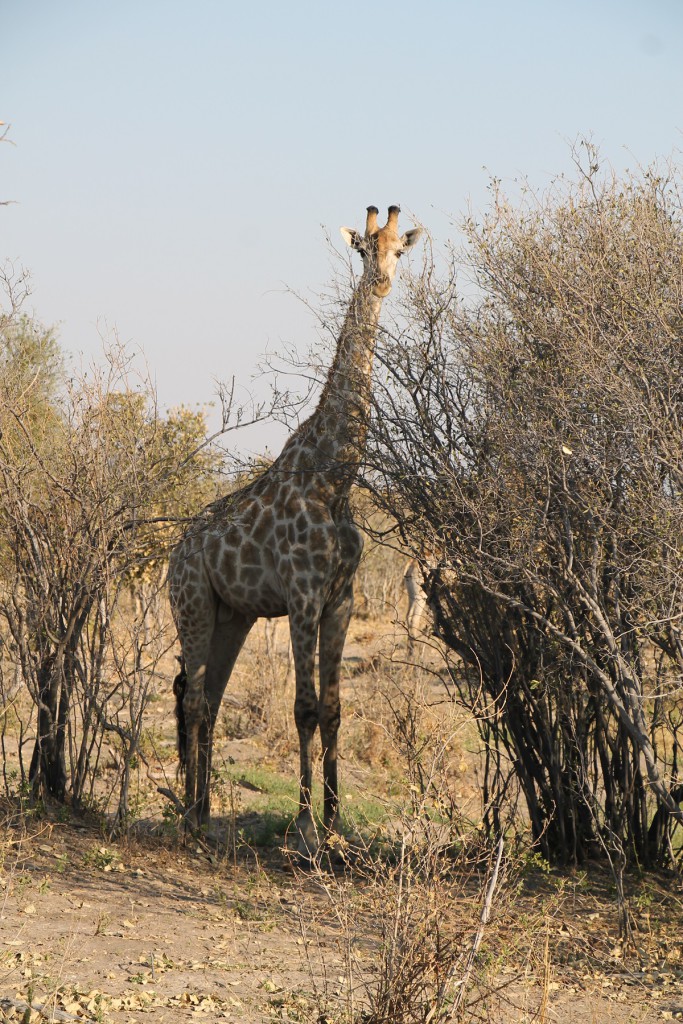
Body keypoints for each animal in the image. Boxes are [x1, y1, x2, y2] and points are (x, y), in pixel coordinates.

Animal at [167, 203, 419, 851]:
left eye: (399, 252)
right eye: (362, 250)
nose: (381, 283)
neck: (336, 475)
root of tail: (174, 553)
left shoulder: (341, 598)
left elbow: (332, 710)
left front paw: (336, 825)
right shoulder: (303, 596)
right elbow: (303, 708)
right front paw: (305, 829)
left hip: (232, 615)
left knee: (206, 696)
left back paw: (204, 811)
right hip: (192, 604)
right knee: (196, 698)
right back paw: (190, 820)